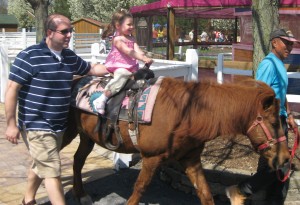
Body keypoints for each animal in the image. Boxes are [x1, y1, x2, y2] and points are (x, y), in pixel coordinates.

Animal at [61, 77, 290, 205]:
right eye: (273, 122)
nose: (286, 158)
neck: (185, 113)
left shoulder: (191, 160)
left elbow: (205, 193)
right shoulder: (151, 158)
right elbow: (139, 189)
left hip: (86, 137)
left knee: (77, 161)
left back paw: (81, 194)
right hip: (66, 133)